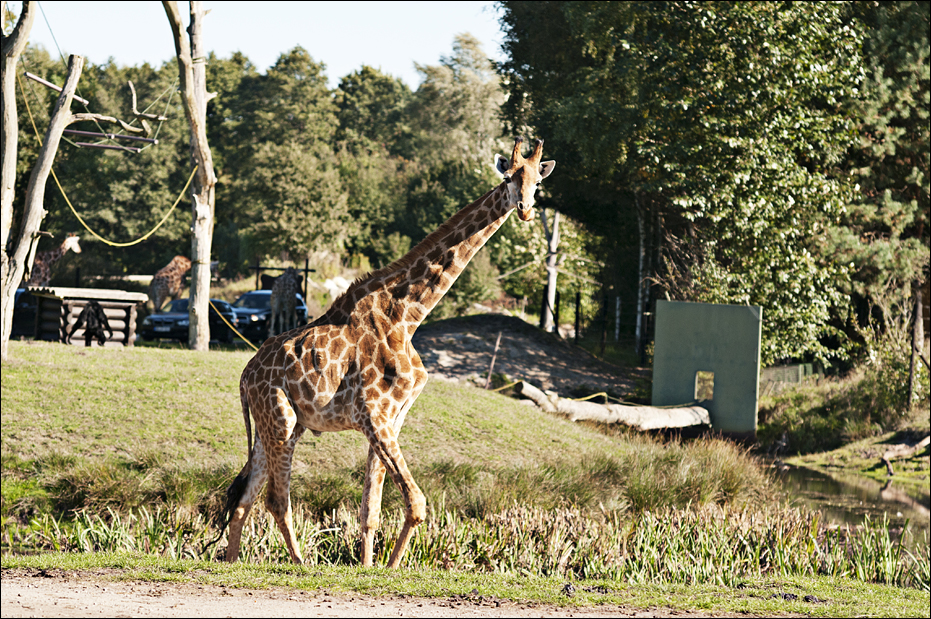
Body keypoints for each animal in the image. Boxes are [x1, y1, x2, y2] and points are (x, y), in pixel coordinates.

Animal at [216, 138, 555, 568]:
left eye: (537, 183)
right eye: (510, 177)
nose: (525, 208)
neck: (407, 316)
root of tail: (245, 376)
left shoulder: (393, 418)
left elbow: (372, 510)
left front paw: (372, 567)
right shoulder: (373, 414)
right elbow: (416, 503)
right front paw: (390, 567)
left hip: (272, 426)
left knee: (244, 499)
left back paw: (231, 562)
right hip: (282, 419)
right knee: (276, 500)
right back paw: (300, 564)